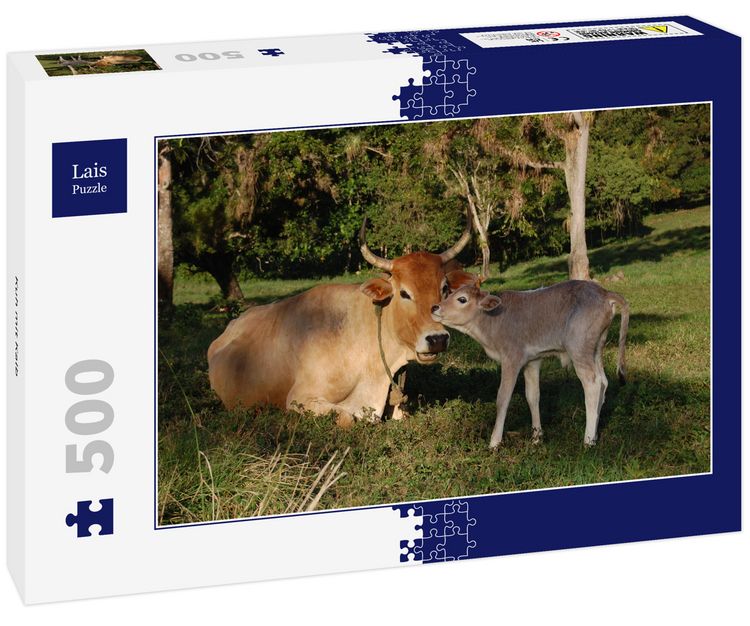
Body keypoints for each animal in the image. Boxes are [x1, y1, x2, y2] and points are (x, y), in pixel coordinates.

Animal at [430, 279, 629, 448]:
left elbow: (503, 398)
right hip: (596, 348)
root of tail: (603, 292)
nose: (434, 307)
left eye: (462, 299)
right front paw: (536, 437)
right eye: (449, 293)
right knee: (603, 382)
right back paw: (594, 434)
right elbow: (532, 396)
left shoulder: (512, 358)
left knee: (592, 384)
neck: (491, 323)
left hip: (579, 348)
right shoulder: (532, 361)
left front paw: (494, 442)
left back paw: (588, 439)